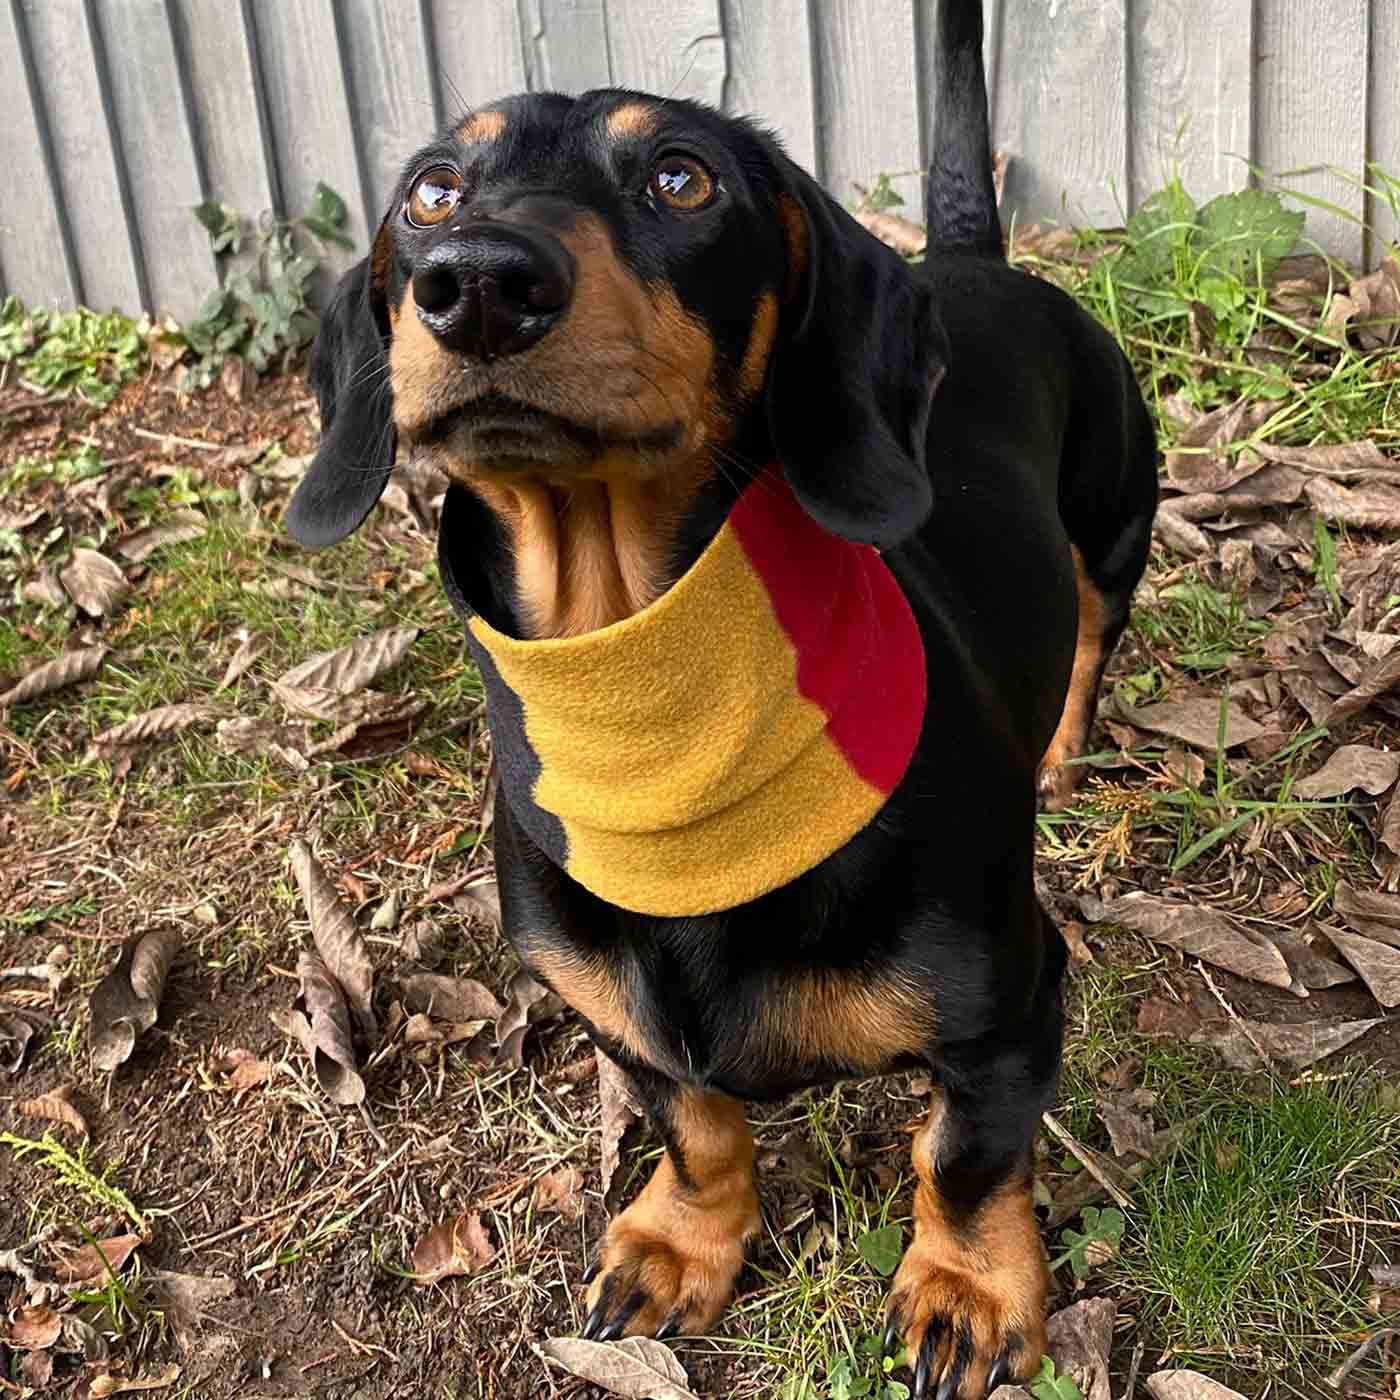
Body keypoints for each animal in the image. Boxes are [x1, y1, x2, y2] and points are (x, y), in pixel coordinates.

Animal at [287, 5, 1159, 1394]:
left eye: (679, 177)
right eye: (430, 189)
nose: (475, 280)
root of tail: (970, 263)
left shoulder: (1008, 1015)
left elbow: (965, 1159)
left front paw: (968, 1289)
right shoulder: (624, 1026)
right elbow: (696, 1126)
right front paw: (680, 1242)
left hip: (1115, 519)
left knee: (1087, 632)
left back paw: (1063, 748)